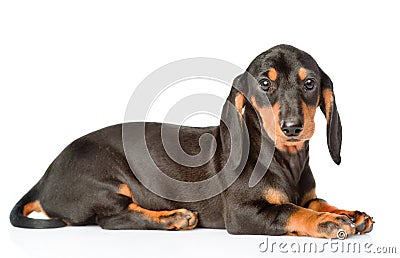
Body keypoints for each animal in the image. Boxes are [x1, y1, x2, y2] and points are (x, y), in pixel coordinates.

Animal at [9, 44, 374, 238]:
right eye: (264, 85)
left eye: (310, 83)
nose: (293, 127)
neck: (286, 158)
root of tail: (43, 180)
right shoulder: (243, 214)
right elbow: (290, 210)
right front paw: (326, 222)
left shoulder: (308, 194)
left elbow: (315, 202)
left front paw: (347, 213)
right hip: (102, 181)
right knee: (112, 219)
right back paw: (173, 218)